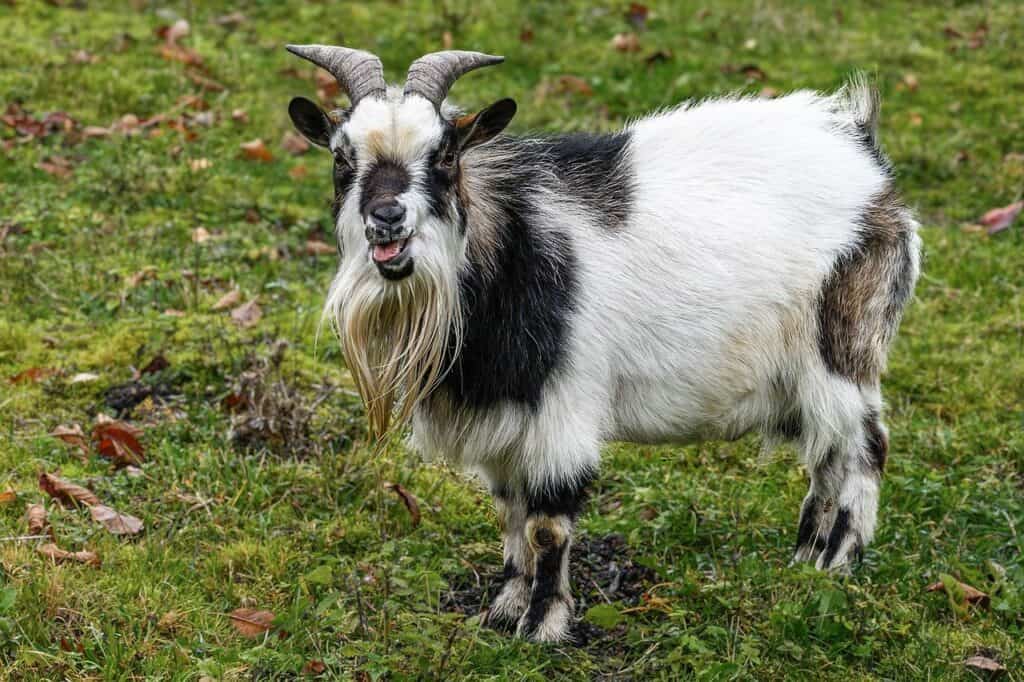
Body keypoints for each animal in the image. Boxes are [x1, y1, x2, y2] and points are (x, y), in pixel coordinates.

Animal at [285, 45, 921, 643]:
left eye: (444, 155)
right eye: (342, 158)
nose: (386, 218)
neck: (508, 252)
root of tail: (861, 148)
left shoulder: (563, 410)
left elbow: (546, 525)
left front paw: (543, 625)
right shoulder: (505, 421)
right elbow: (510, 514)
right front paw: (503, 610)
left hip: (842, 348)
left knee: (865, 446)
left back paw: (839, 563)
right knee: (827, 453)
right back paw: (804, 559)